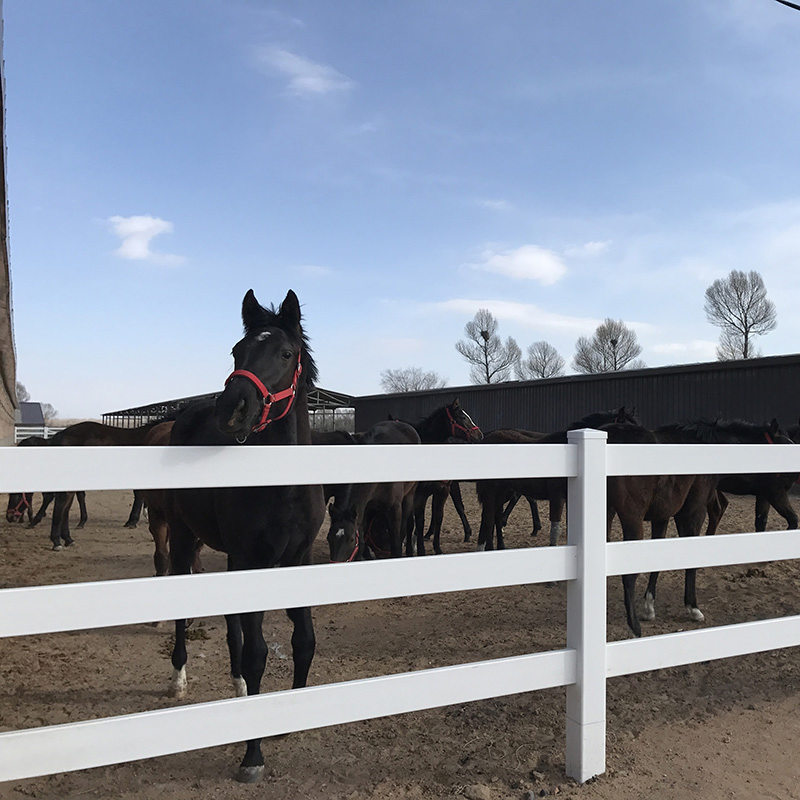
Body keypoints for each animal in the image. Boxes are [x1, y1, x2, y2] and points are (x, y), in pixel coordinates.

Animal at [163, 288, 325, 784]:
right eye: (238, 351)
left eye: (286, 353)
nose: (232, 409)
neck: (281, 487)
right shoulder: (253, 559)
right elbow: (258, 652)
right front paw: (252, 755)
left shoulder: (296, 559)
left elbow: (303, 641)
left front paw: (288, 717)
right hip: (182, 538)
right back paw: (178, 679)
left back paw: (236, 687)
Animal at [326, 419, 420, 561]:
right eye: (329, 538)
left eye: (351, 539)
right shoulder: (364, 510)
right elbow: (362, 541)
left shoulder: (395, 509)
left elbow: (396, 541)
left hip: (410, 495)